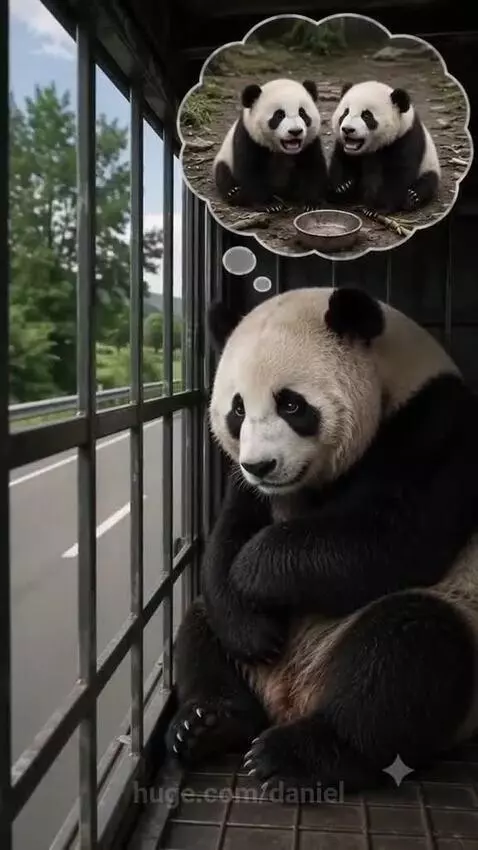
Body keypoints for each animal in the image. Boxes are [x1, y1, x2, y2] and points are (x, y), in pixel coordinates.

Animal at [166, 286, 478, 793]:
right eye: (237, 409)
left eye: (292, 405)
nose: (261, 465)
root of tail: (291, 695)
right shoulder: (252, 489)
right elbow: (230, 531)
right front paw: (252, 628)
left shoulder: (437, 429)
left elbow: (389, 538)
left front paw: (252, 573)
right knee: (198, 625)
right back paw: (208, 722)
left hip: (454, 623)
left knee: (407, 656)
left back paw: (295, 754)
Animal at [213, 78, 328, 211]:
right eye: (279, 115)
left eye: (302, 113)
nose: (295, 131)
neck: (282, 151)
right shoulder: (249, 137)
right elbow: (251, 171)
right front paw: (270, 205)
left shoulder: (310, 143)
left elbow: (312, 167)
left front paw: (311, 203)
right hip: (225, 159)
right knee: (223, 174)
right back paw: (234, 193)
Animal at [328, 80, 441, 213]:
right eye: (345, 112)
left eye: (366, 116)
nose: (347, 129)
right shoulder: (344, 146)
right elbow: (341, 161)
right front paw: (343, 187)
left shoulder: (405, 138)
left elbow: (396, 174)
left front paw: (376, 208)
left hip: (429, 165)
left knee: (429, 181)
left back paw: (412, 197)